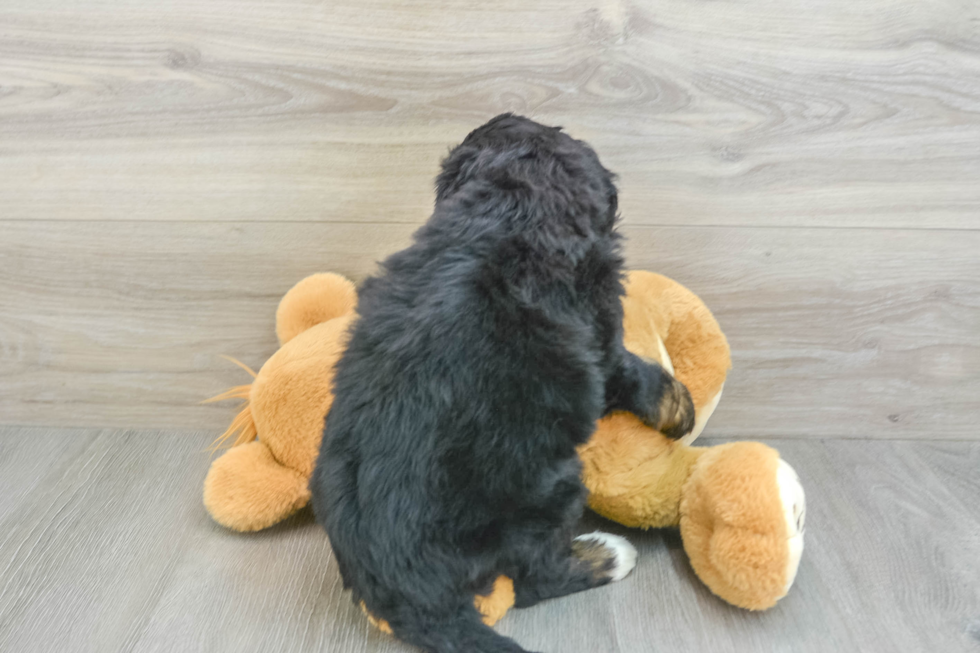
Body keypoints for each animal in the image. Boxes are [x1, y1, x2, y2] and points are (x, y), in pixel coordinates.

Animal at [312, 113, 688, 652]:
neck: (512, 210)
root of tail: (406, 594)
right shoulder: (600, 334)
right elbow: (633, 374)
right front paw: (679, 407)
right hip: (550, 488)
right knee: (536, 578)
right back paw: (607, 555)